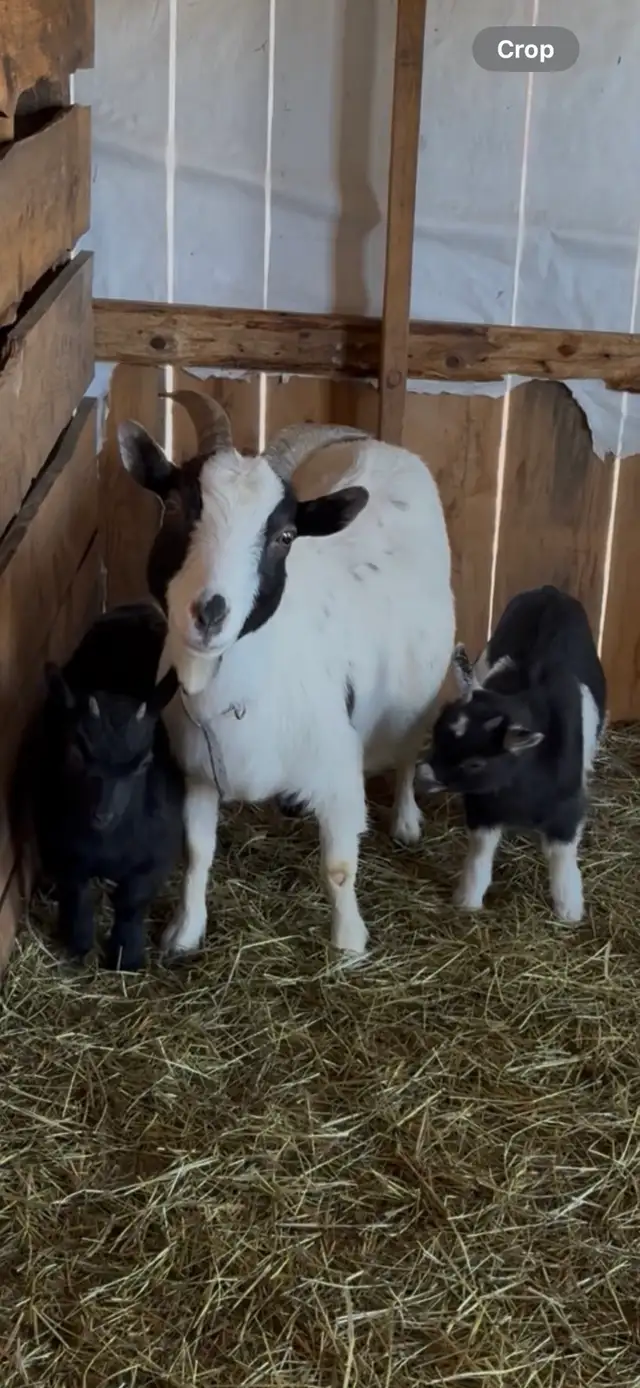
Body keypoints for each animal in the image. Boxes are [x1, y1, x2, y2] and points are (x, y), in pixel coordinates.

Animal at [20, 604, 185, 969]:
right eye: (77, 753)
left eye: (144, 762)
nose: (103, 815)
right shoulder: (57, 847)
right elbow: (76, 894)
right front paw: (79, 945)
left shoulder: (156, 856)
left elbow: (132, 902)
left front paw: (127, 954)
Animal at [116, 390, 455, 957]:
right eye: (177, 507)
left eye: (286, 534)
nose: (210, 613)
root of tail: (386, 448)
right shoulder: (197, 769)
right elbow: (197, 852)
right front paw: (184, 933)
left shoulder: (339, 766)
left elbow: (338, 867)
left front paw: (349, 945)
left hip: (417, 691)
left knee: (407, 748)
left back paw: (407, 820)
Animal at [416, 585, 607, 923]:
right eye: (437, 735)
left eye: (475, 763)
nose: (422, 777)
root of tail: (550, 591)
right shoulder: (483, 806)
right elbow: (480, 850)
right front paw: (468, 899)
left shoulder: (567, 809)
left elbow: (563, 856)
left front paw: (569, 909)